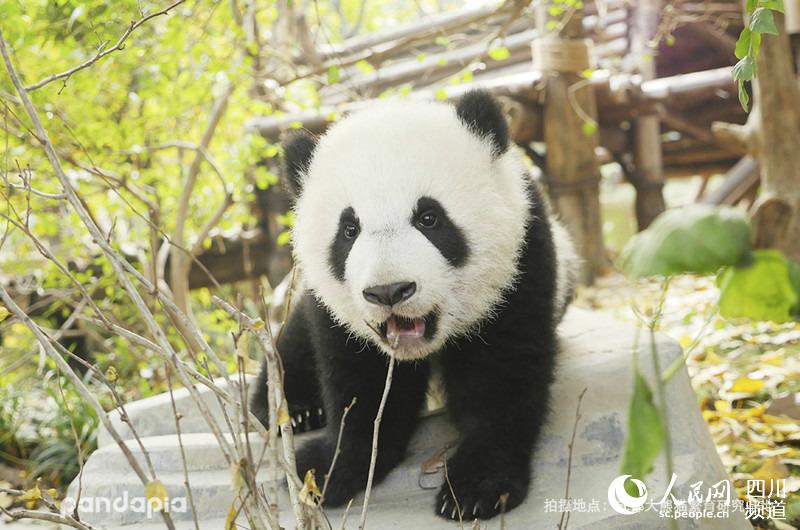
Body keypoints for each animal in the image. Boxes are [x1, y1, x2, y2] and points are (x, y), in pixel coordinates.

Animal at [253, 91, 580, 520]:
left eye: (429, 217)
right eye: (349, 230)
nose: (389, 291)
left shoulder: (521, 266)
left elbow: (501, 375)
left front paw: (477, 487)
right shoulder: (343, 321)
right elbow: (361, 381)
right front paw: (328, 470)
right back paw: (286, 405)